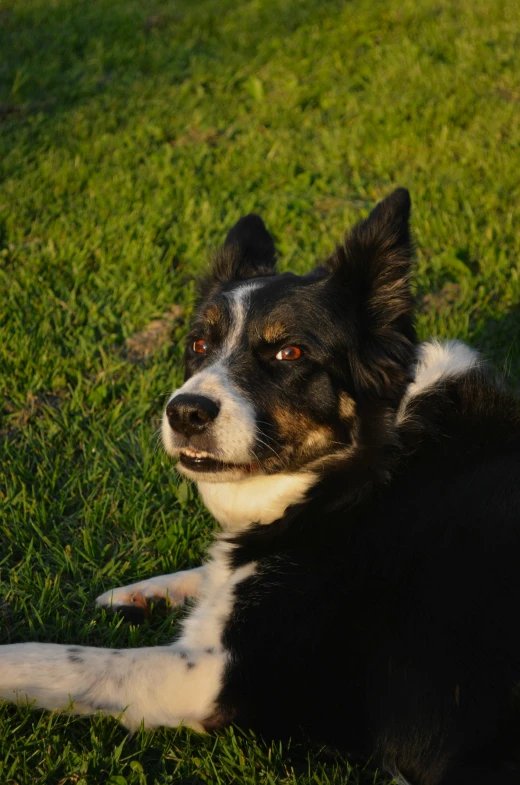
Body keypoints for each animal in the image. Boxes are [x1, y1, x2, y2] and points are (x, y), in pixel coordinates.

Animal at [3, 187, 520, 780]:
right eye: (199, 345)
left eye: (288, 352)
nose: (184, 413)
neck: (370, 466)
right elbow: (213, 572)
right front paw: (139, 594)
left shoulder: (213, 680)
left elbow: (61, 658)